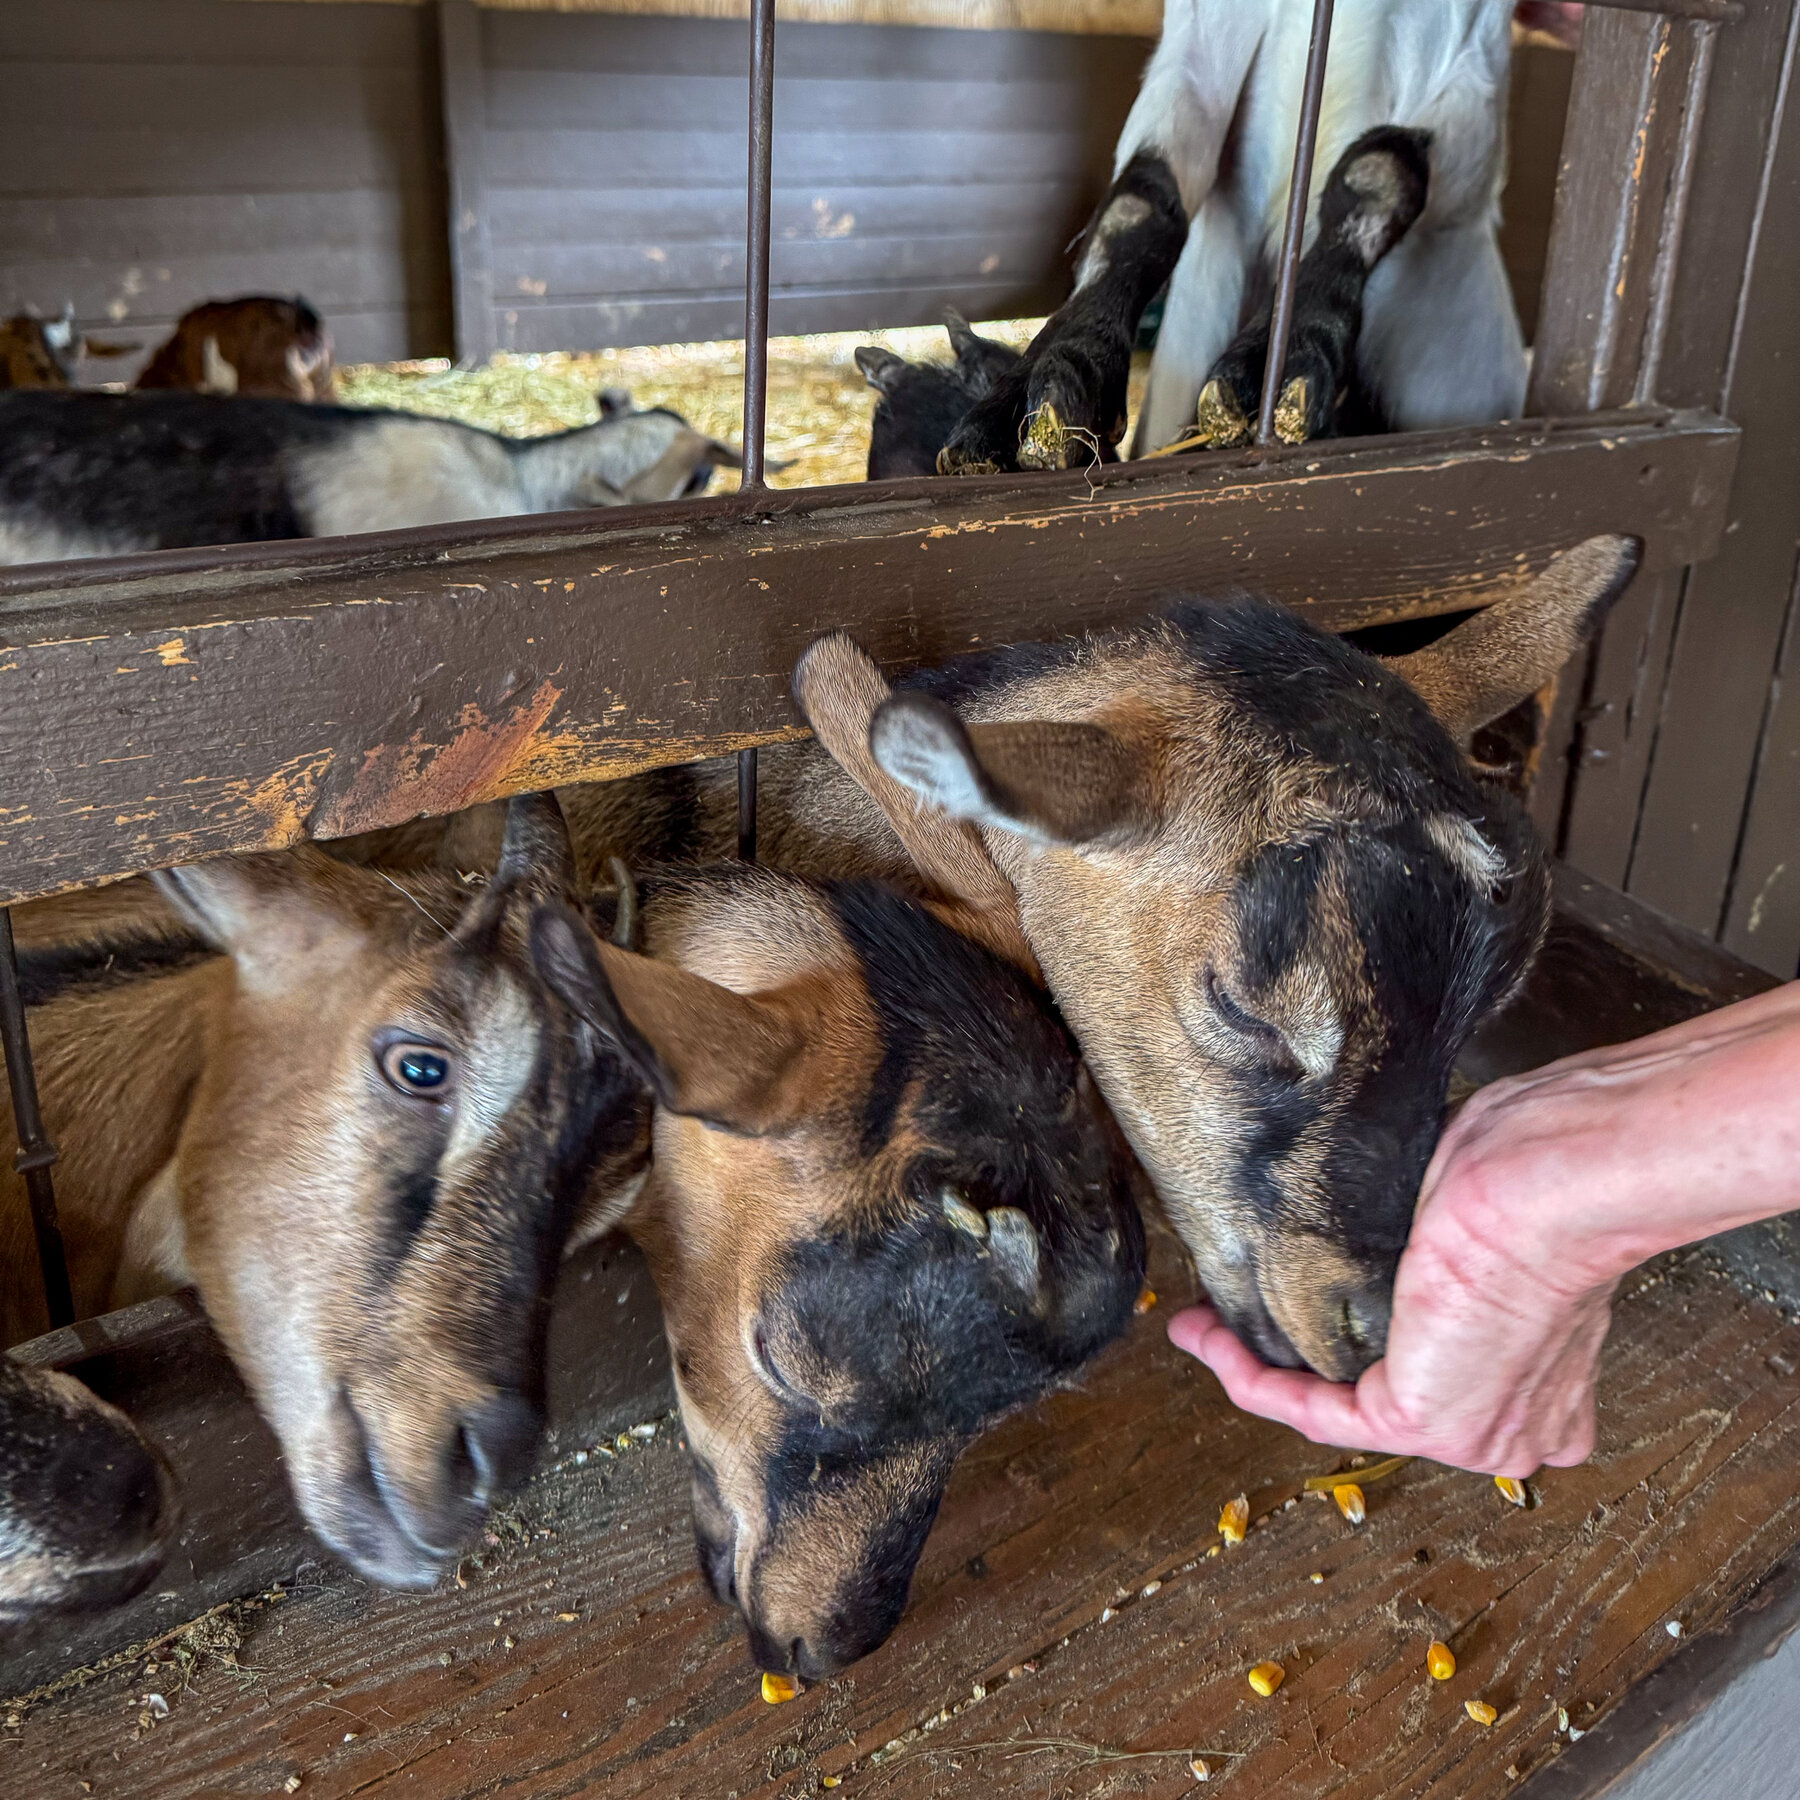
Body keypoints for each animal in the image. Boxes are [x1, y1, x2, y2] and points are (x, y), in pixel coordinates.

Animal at [938, 0, 1523, 471]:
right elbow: (1140, 204)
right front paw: (1043, 387)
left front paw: (1282, 356)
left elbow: (1382, 170)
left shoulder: (1471, 52)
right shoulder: (1198, 36)